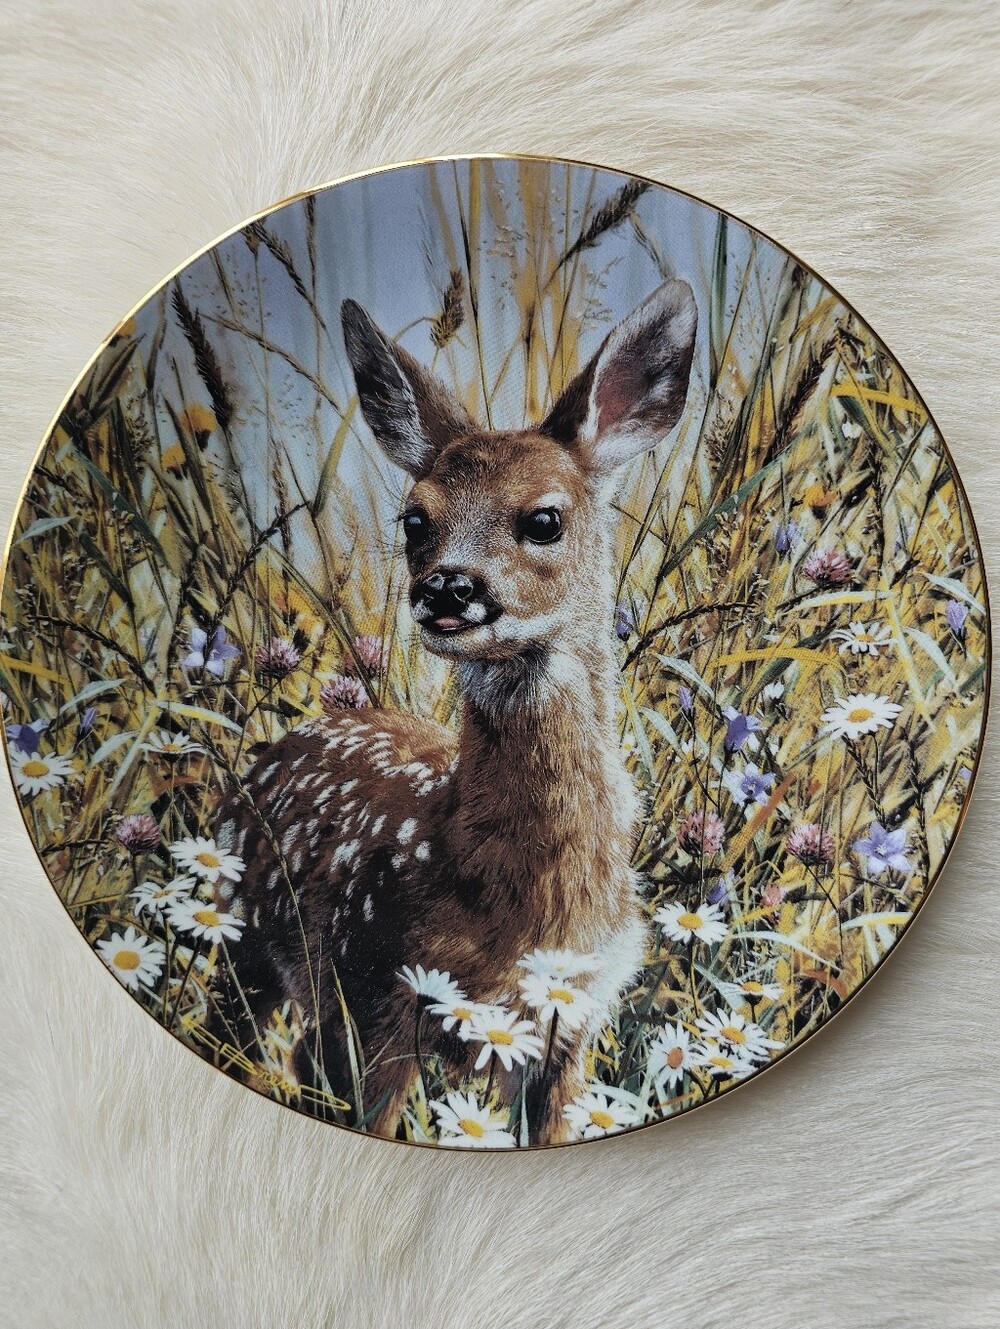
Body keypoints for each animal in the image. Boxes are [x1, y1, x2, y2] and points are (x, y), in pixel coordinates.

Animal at [210, 278, 698, 1144]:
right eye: (415, 519)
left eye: (544, 518)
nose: (446, 586)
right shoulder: (375, 983)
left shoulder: (568, 1029)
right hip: (249, 938)